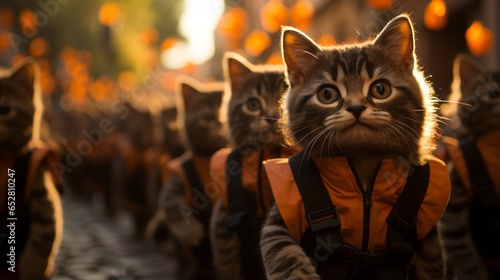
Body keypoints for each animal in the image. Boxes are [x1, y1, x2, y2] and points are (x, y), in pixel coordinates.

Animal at [159, 77, 226, 280]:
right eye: (208, 117)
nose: (222, 126)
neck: (211, 155)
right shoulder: (178, 178)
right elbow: (172, 204)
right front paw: (190, 232)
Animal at [260, 15, 448, 280]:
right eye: (327, 94)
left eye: (380, 89)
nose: (356, 107)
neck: (363, 164)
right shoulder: (280, 223)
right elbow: (288, 258)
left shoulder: (427, 234)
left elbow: (430, 267)